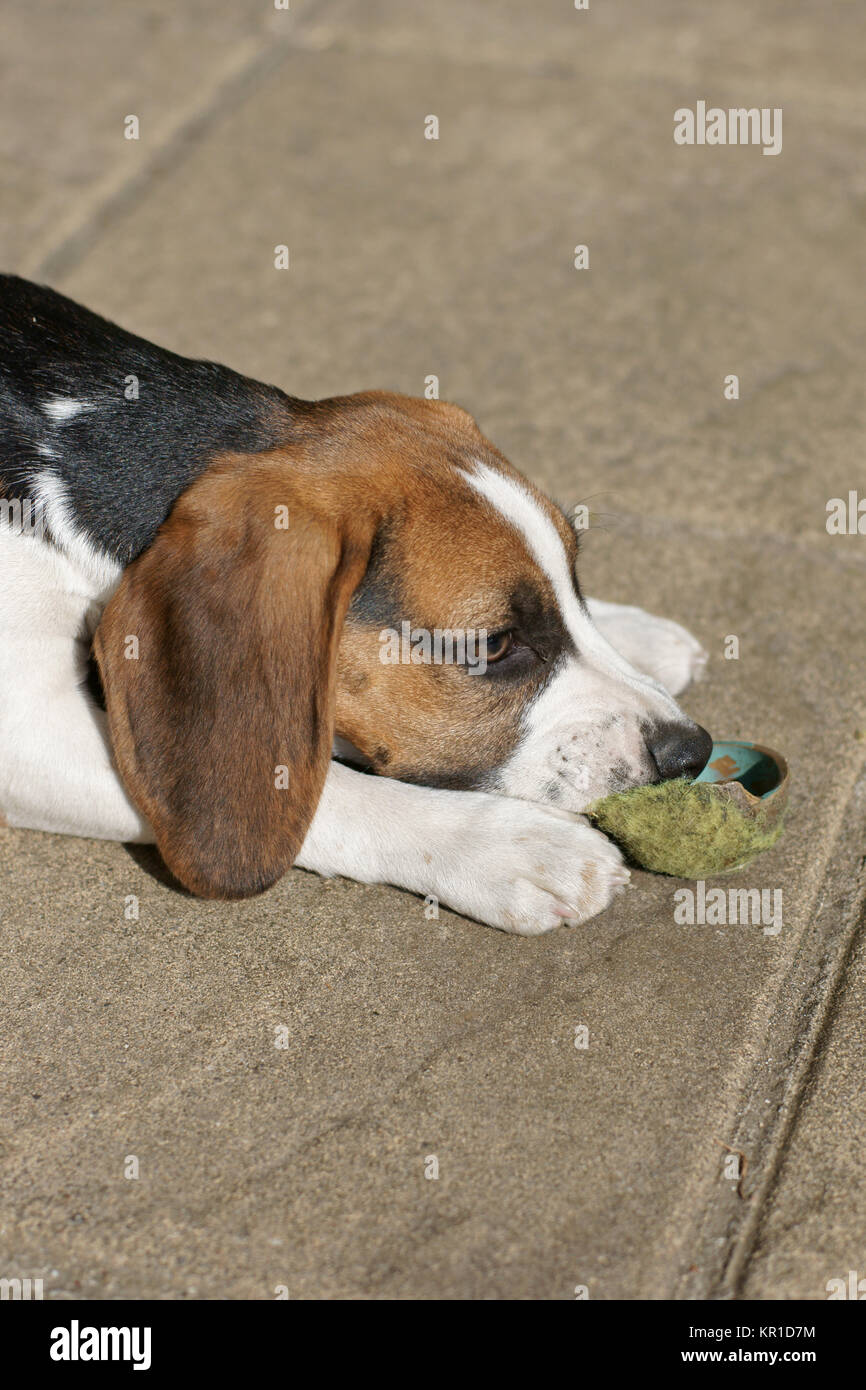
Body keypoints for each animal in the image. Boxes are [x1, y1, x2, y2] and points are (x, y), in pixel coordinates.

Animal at [0, 273, 711, 934]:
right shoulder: (25, 732)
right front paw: (506, 845)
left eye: (576, 578)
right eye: (494, 644)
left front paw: (630, 635)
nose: (692, 753)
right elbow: (324, 790)